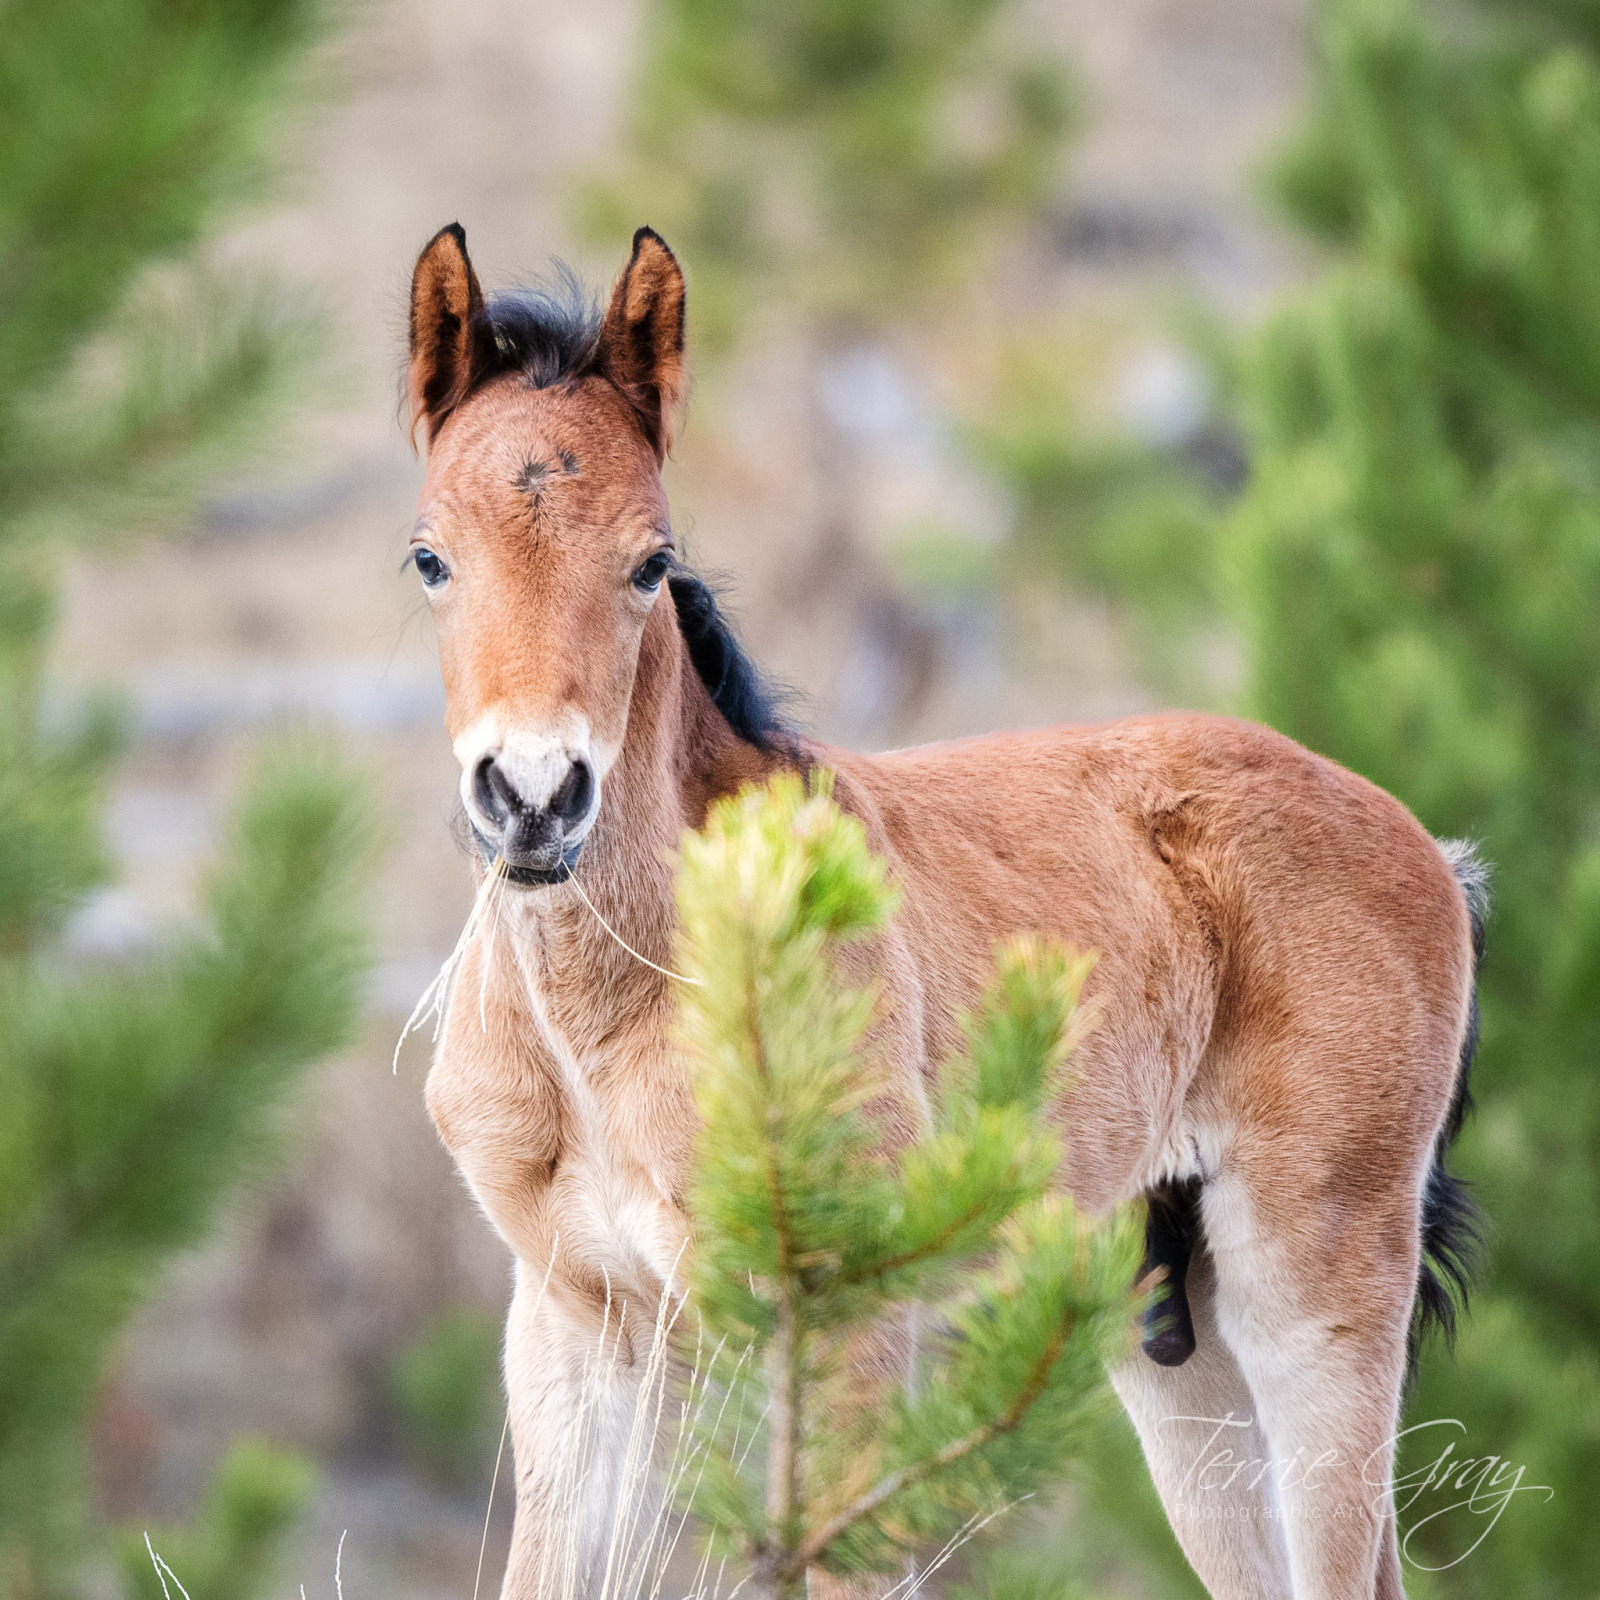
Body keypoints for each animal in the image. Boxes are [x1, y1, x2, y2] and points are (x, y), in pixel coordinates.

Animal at [406, 225, 1478, 1600]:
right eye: (430, 557)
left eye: (650, 563)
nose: (534, 798)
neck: (617, 1012)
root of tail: (1428, 848)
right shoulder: (573, 1322)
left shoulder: (844, 1327)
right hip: (1169, 1339)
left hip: (1312, 1290)